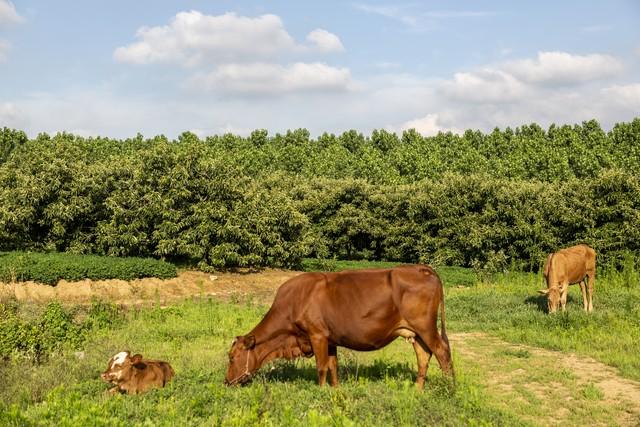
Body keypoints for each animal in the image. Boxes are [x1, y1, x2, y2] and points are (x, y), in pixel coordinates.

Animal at [225, 266, 456, 392]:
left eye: (232, 357)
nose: (226, 382)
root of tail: (420, 268)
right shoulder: (331, 339)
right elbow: (333, 366)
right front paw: (335, 390)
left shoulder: (317, 335)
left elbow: (321, 367)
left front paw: (319, 392)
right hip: (414, 332)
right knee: (424, 355)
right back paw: (417, 390)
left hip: (426, 327)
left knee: (442, 352)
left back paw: (449, 390)